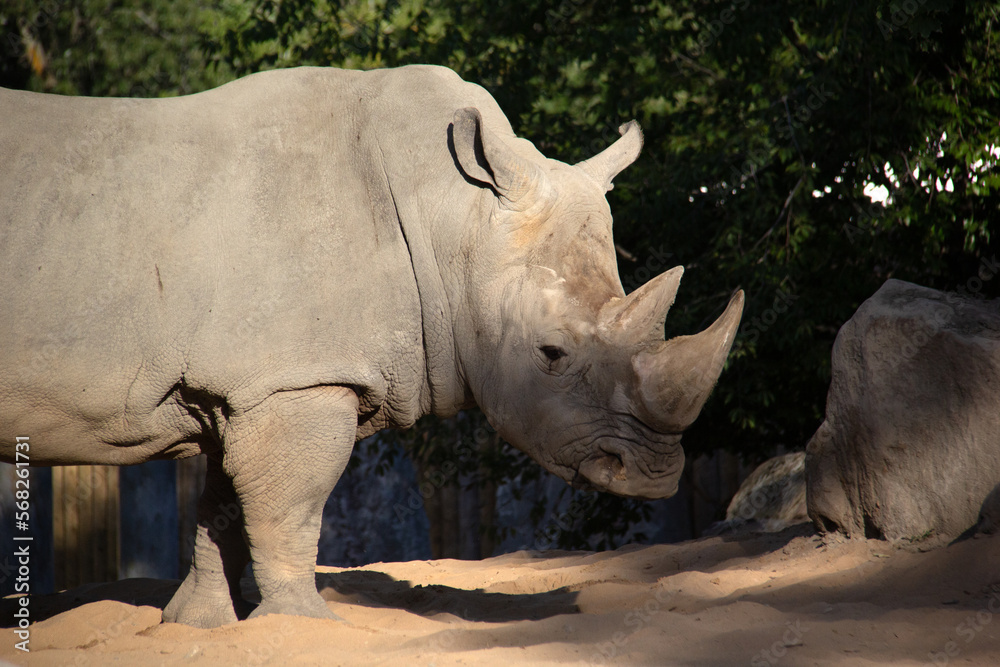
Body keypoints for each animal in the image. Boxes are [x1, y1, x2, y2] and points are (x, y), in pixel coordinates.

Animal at [0, 65, 743, 627]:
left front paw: (199, 625)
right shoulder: (296, 380)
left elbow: (223, 508)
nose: (652, 476)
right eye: (551, 353)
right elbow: (289, 508)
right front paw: (303, 626)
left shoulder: (250, 381)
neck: (450, 217)